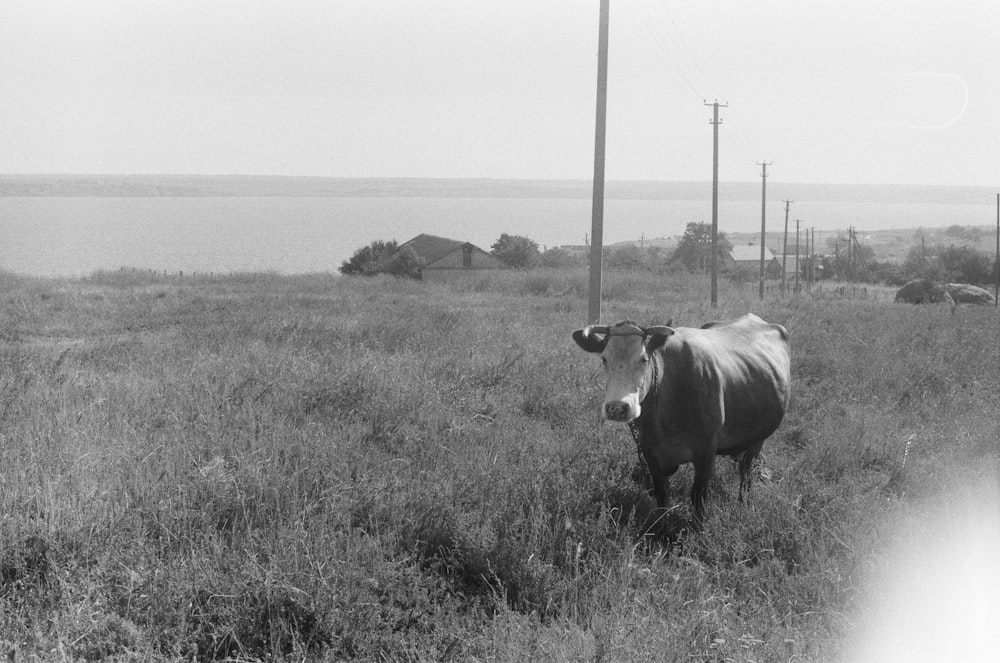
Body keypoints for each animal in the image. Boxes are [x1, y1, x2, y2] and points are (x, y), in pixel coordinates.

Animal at [576, 316, 792, 524]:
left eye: (643, 359)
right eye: (604, 358)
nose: (617, 407)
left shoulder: (706, 451)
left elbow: (698, 497)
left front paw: (699, 529)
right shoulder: (648, 450)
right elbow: (662, 493)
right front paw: (662, 524)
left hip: (758, 439)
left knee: (746, 472)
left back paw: (743, 501)